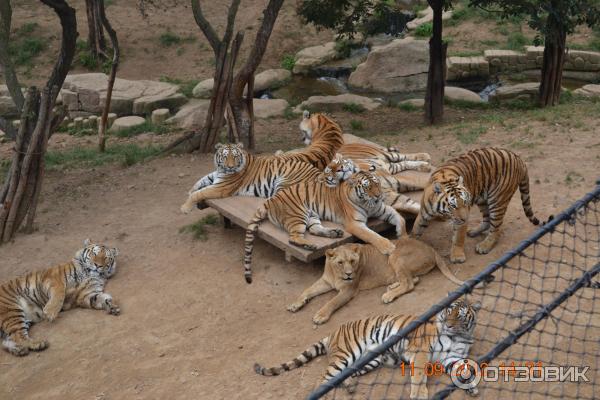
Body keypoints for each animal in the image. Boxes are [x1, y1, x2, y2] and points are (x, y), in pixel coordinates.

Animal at [241, 170, 406, 282]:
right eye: (367, 187)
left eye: (377, 183)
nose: (378, 196)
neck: (368, 204)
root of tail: (271, 199)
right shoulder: (355, 224)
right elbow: (372, 235)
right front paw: (389, 247)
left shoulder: (383, 209)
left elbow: (401, 218)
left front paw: (402, 235)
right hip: (298, 215)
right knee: (293, 237)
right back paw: (310, 245)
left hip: (312, 215)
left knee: (314, 229)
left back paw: (334, 233)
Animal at [255, 298, 480, 398]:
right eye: (448, 311)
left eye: (460, 315)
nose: (448, 325)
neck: (458, 335)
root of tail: (333, 332)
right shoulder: (421, 351)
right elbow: (419, 377)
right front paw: (419, 395)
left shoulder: (452, 358)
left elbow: (465, 371)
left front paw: (471, 387)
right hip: (345, 354)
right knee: (322, 380)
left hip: (368, 360)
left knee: (343, 375)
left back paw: (350, 386)